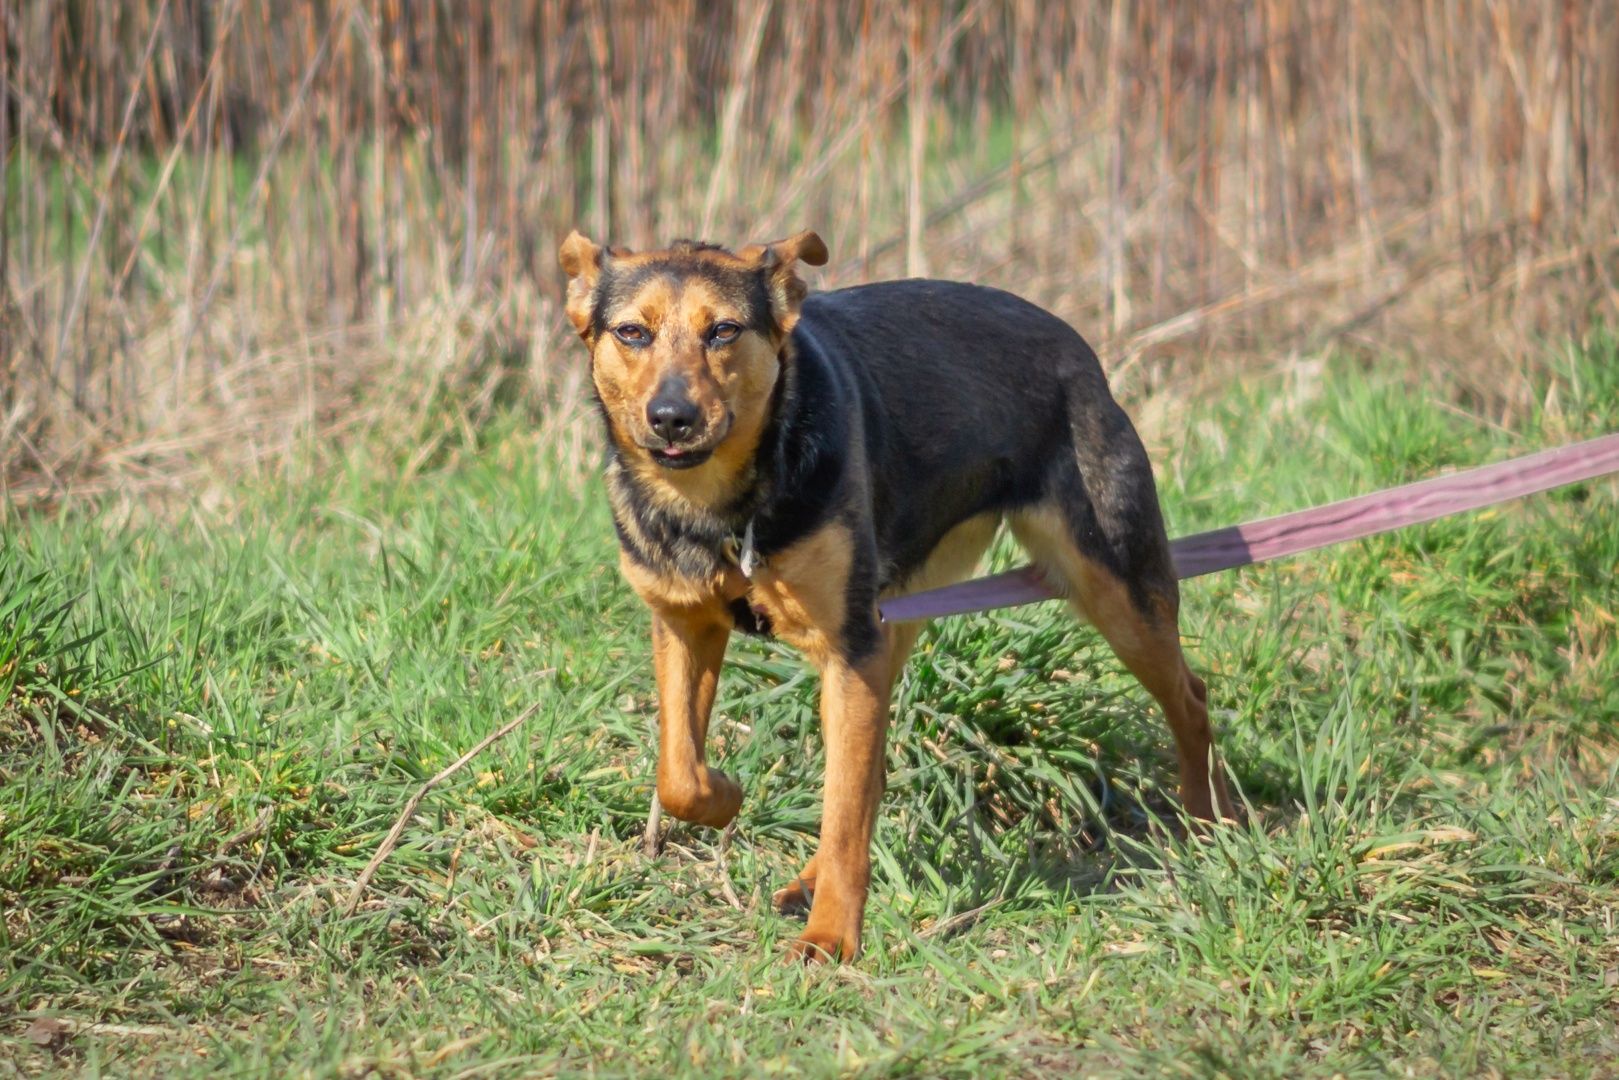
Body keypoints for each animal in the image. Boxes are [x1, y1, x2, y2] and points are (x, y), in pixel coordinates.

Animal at [563, 228, 1230, 965]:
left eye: (724, 331)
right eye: (632, 332)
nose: (672, 419)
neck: (719, 509)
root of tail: (1073, 343)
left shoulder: (849, 645)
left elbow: (843, 812)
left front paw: (829, 938)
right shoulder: (686, 625)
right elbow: (680, 774)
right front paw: (727, 796)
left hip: (1112, 584)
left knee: (1190, 698)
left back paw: (1209, 823)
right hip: (900, 614)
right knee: (867, 773)